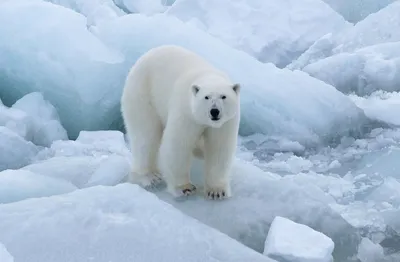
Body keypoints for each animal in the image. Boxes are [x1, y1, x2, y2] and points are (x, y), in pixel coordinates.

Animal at [121, 45, 241, 201]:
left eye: (223, 96)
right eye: (206, 97)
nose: (214, 111)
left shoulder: (226, 123)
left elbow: (219, 148)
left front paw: (216, 191)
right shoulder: (186, 113)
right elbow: (178, 146)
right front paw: (184, 188)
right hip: (142, 94)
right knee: (146, 136)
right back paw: (149, 176)